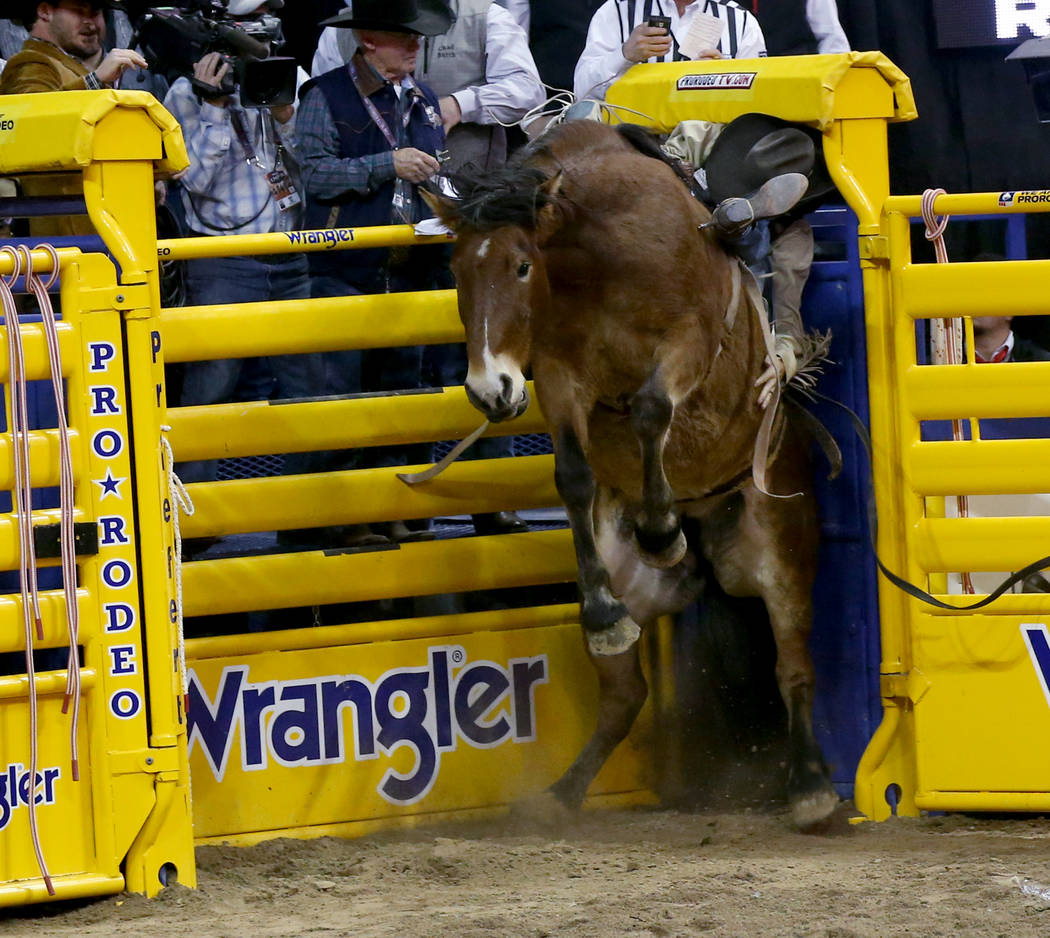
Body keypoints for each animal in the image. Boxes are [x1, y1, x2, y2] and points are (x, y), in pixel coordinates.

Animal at [422, 117, 839, 827]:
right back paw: (561, 792)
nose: (488, 390)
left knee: (795, 669)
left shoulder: (686, 345)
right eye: (454, 270)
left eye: (521, 264)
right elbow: (572, 474)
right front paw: (603, 608)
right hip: (639, 586)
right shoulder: (559, 378)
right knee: (624, 697)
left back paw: (810, 787)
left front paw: (660, 531)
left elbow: (649, 410)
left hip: (782, 554)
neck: (598, 257)